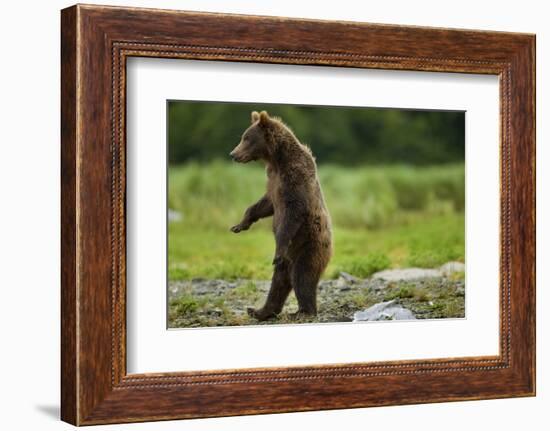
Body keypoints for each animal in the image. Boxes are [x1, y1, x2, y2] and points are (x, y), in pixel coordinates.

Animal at [231, 110, 334, 320]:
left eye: (246, 138)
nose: (233, 154)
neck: (276, 159)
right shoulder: (273, 180)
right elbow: (265, 204)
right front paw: (240, 224)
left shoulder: (295, 178)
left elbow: (293, 213)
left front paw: (277, 247)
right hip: (289, 259)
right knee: (279, 281)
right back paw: (260, 311)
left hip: (309, 246)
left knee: (302, 277)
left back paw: (303, 311)